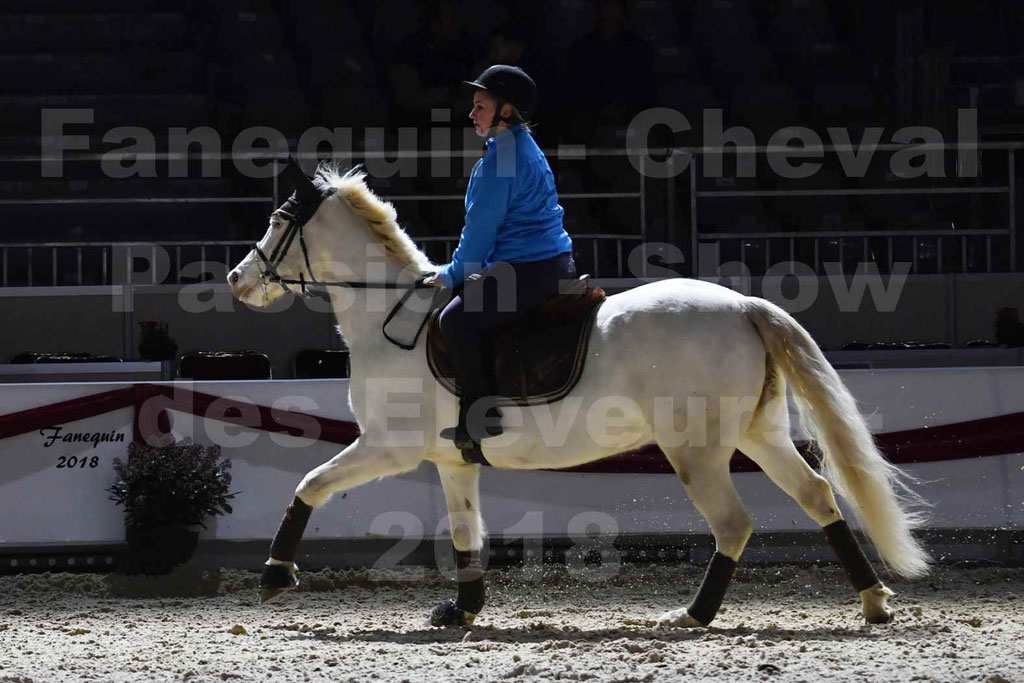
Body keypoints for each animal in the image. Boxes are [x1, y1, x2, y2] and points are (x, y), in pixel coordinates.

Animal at [227, 160, 929, 629]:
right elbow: (466, 531)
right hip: (759, 435)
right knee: (817, 495)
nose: (237, 279)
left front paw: (275, 574)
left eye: (278, 221)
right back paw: (873, 600)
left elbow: (311, 485)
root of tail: (743, 305)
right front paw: (462, 609)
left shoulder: (387, 448)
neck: (388, 317)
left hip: (697, 450)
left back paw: (693, 615)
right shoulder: (452, 460)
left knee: (735, 522)